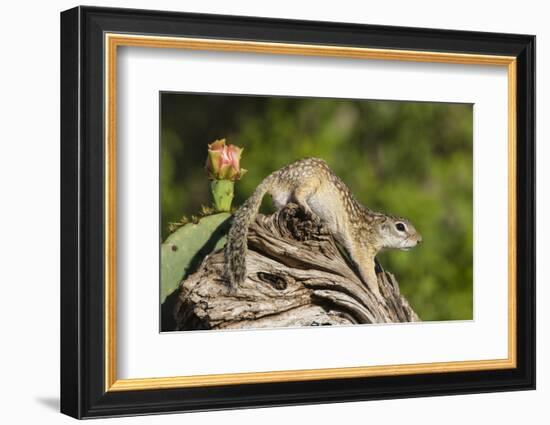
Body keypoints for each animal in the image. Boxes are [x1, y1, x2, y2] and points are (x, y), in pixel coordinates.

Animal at [224, 157, 422, 298]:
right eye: (400, 227)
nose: (420, 240)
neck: (374, 228)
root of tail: (276, 176)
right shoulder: (363, 250)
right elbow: (368, 273)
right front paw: (378, 296)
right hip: (312, 180)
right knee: (299, 194)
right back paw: (309, 210)